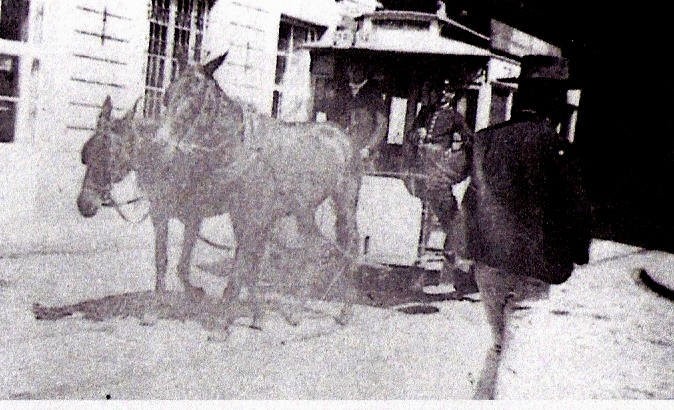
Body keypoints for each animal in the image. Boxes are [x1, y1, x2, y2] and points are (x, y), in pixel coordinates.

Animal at [77, 53, 362, 330]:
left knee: (349, 245)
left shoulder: (212, 215)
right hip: (302, 209)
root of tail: (340, 133)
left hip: (343, 203)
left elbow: (222, 265)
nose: (84, 204)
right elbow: (168, 262)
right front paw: (170, 305)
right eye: (86, 155)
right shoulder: (169, 215)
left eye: (110, 154)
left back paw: (344, 310)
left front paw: (208, 307)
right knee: (313, 248)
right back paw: (297, 310)